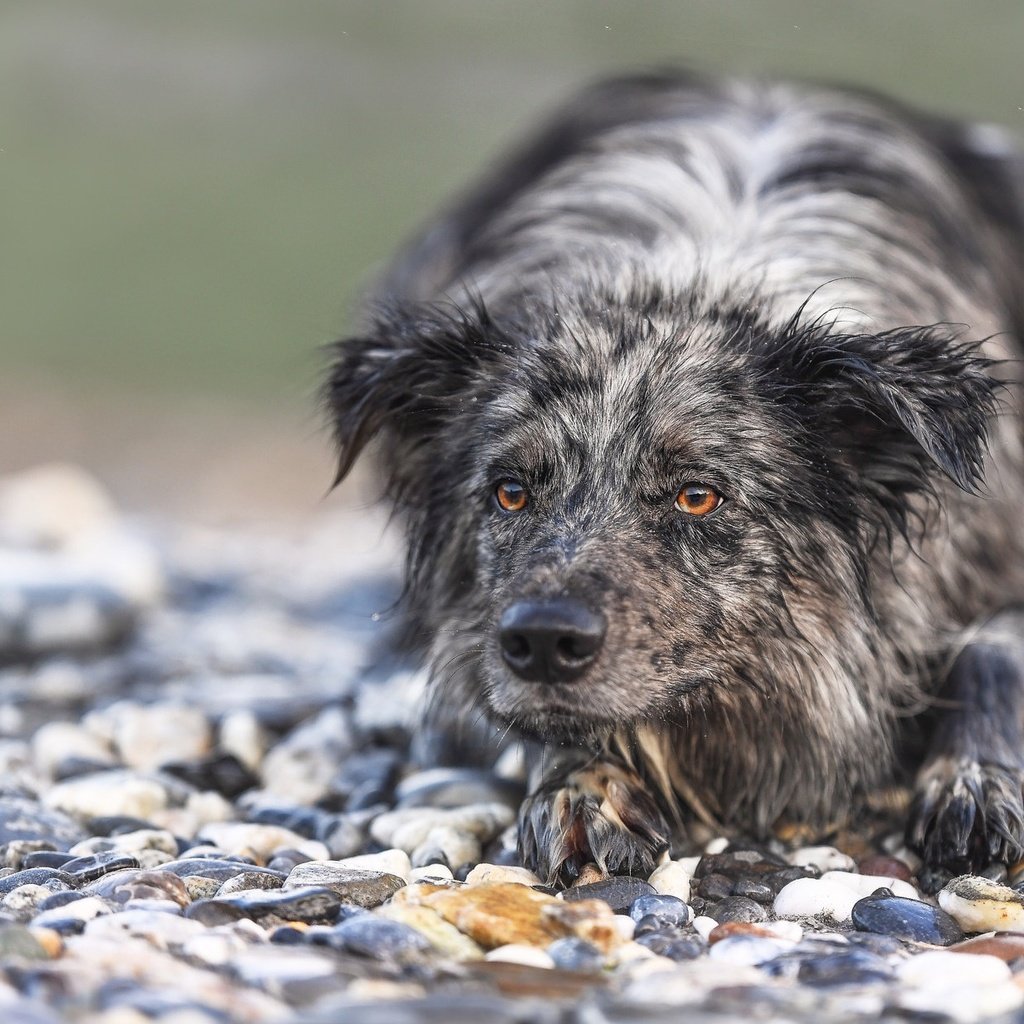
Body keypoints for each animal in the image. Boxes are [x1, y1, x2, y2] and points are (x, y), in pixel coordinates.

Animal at [323, 72, 1024, 888]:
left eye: (698, 495)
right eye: (510, 491)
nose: (544, 641)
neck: (701, 276)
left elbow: (991, 645)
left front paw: (976, 780)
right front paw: (581, 784)